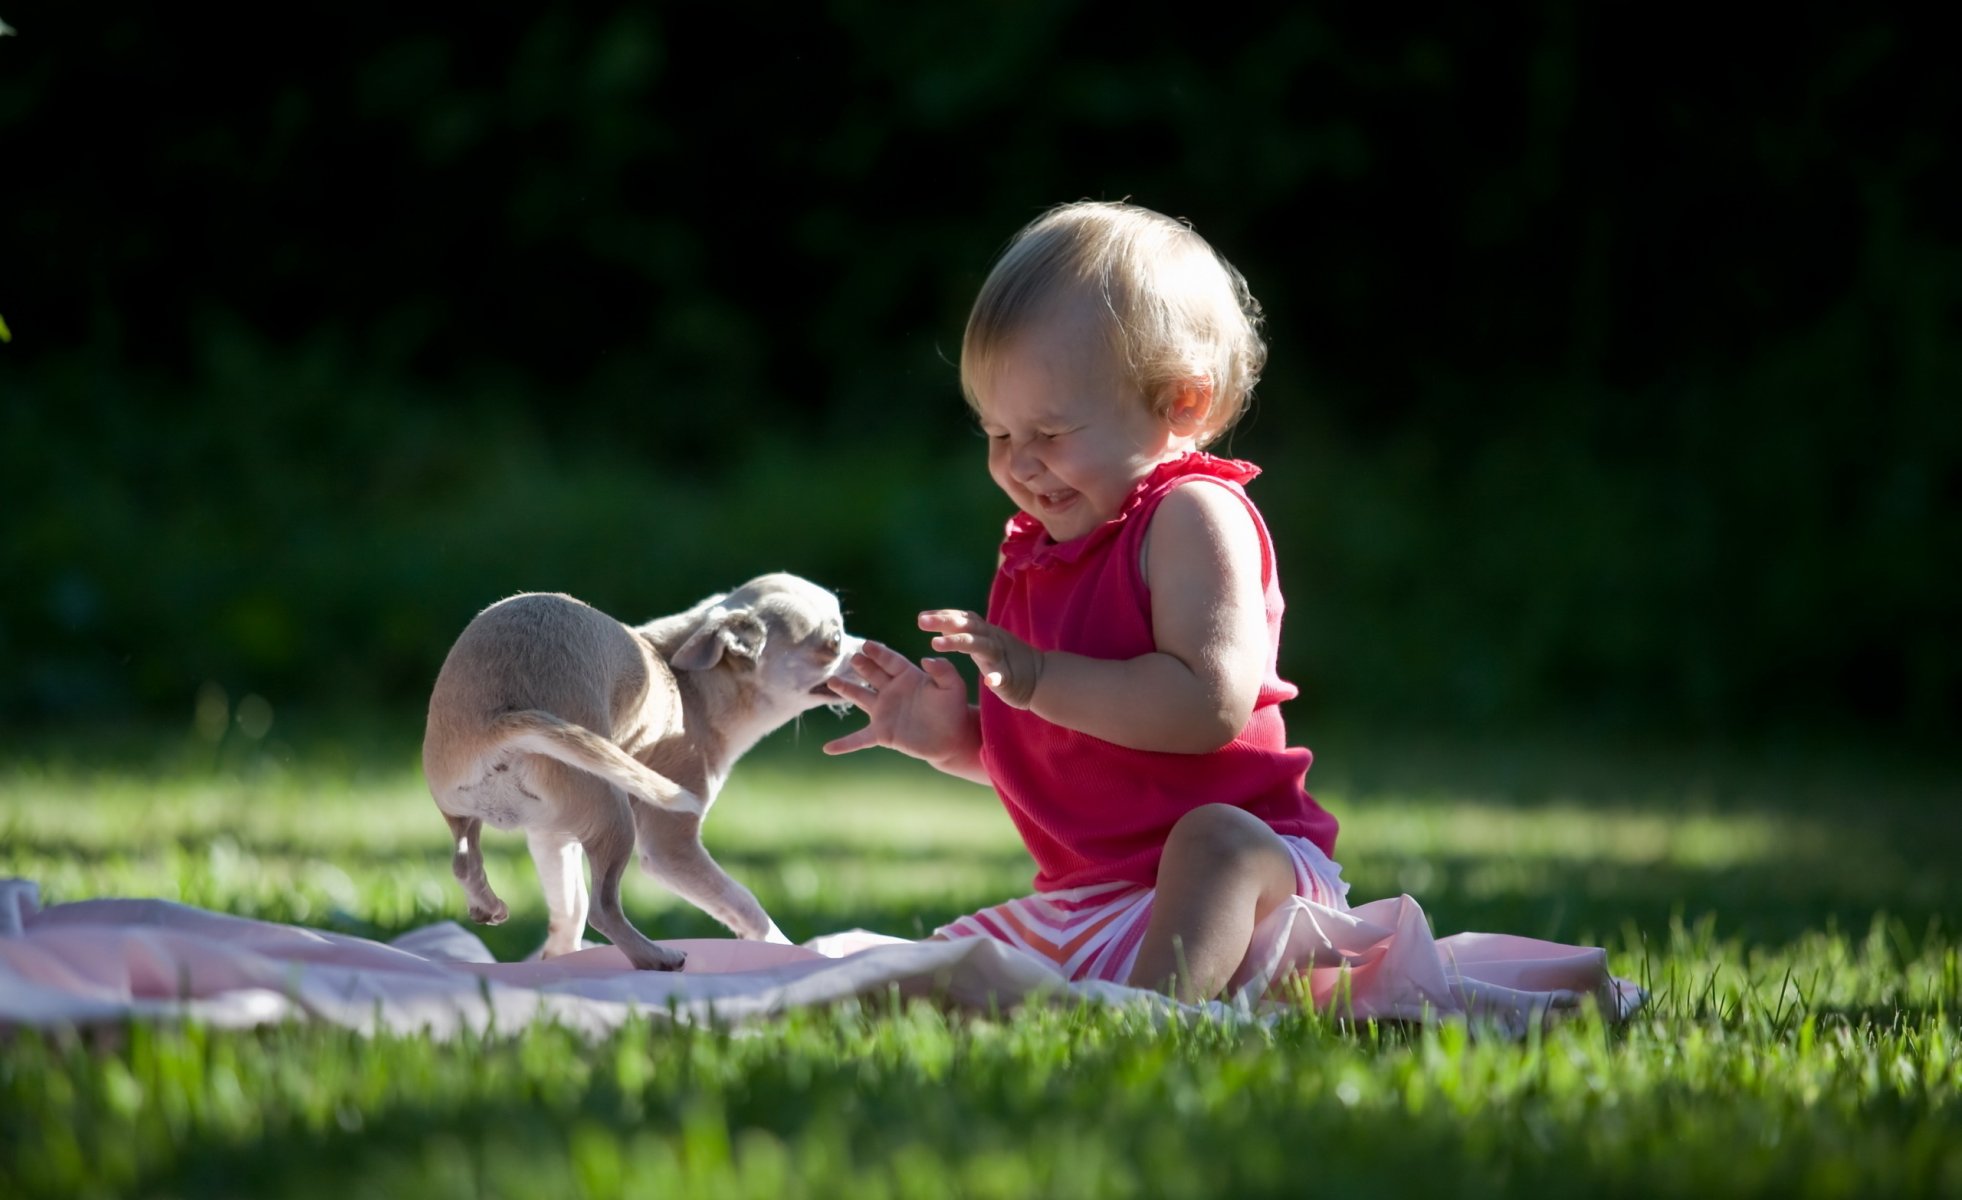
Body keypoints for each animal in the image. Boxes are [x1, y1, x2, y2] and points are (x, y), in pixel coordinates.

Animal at [421, 568, 859, 968]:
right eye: (835, 641)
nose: (868, 647)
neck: (690, 685)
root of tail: (498, 722)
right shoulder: (671, 848)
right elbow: (743, 901)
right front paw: (783, 946)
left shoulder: (550, 836)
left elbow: (568, 907)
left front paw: (559, 957)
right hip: (615, 817)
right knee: (602, 909)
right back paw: (655, 956)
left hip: (466, 806)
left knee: (465, 859)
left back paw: (487, 903)